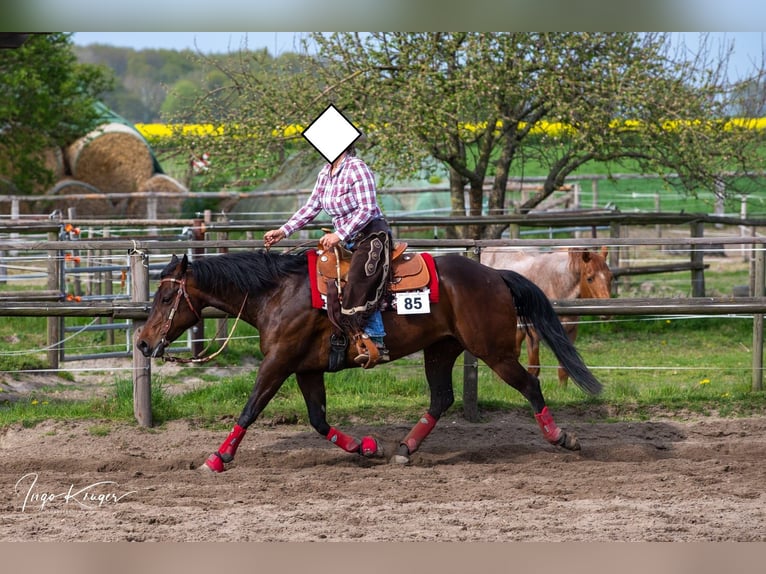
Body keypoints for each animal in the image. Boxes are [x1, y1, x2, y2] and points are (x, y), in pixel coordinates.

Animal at [480, 247, 612, 386]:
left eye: (611, 277)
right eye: (590, 278)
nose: (606, 311)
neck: (555, 286)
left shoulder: (570, 333)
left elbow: (564, 370)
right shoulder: (533, 334)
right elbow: (534, 368)